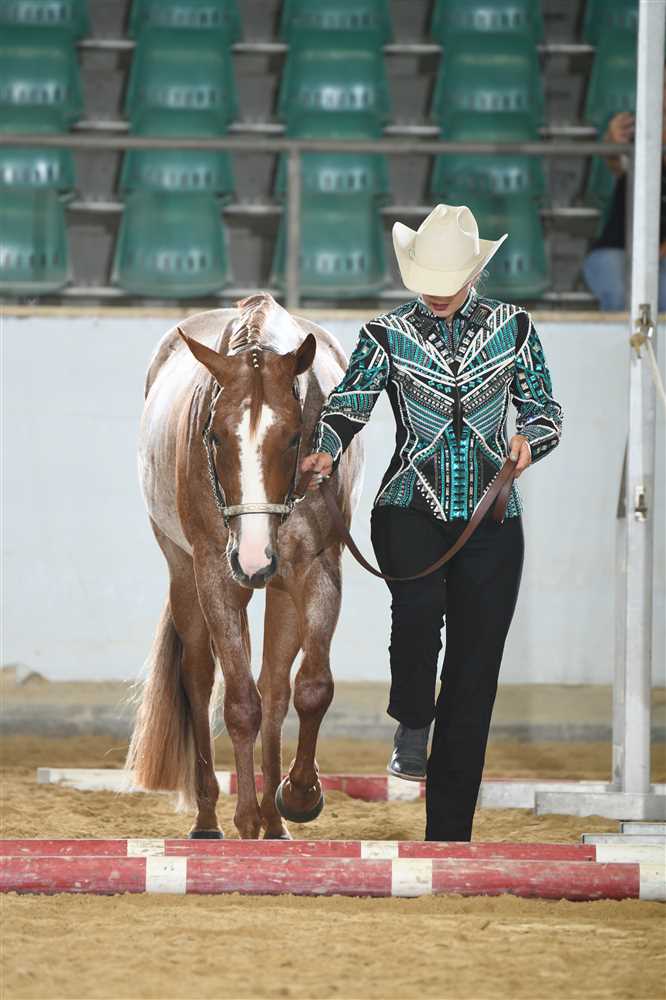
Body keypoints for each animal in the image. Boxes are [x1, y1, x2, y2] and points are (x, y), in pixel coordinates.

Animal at [125, 292, 362, 839]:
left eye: (296, 438)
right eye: (213, 436)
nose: (254, 559)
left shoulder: (316, 571)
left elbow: (311, 688)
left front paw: (298, 795)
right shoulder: (216, 576)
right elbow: (237, 704)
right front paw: (245, 816)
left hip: (278, 589)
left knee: (274, 687)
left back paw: (274, 822)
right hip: (184, 573)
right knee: (199, 678)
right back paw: (211, 820)